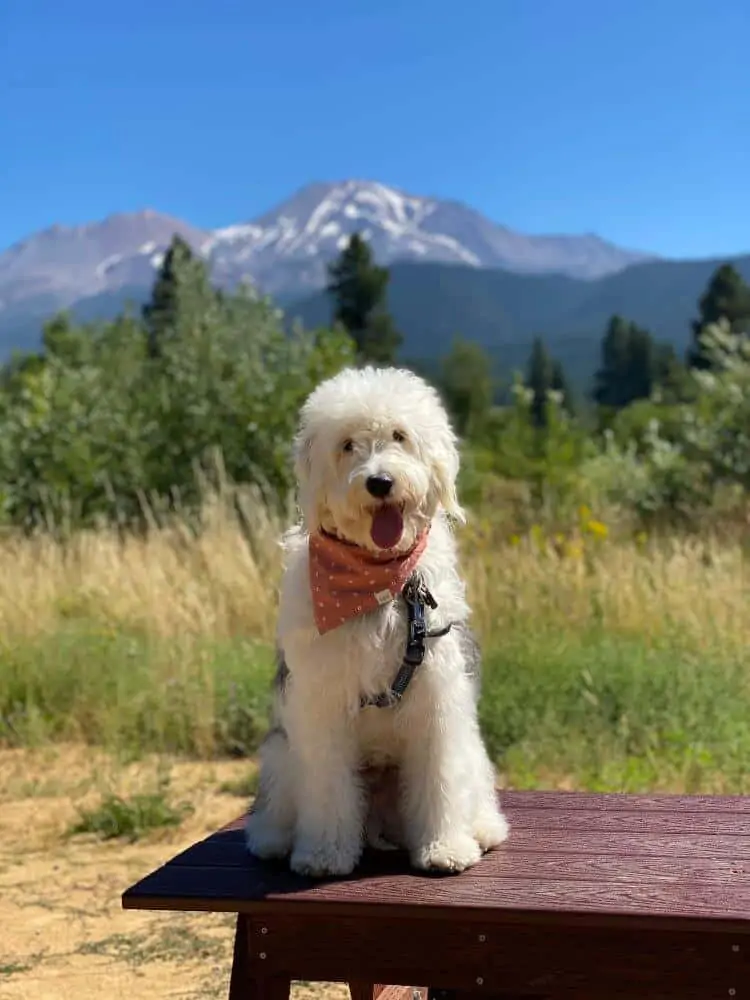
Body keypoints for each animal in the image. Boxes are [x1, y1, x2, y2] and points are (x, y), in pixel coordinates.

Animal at [247, 362, 512, 876]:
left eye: (399, 435)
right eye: (347, 444)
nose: (380, 482)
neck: (377, 583)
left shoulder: (437, 698)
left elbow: (438, 778)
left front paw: (445, 848)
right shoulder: (322, 702)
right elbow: (327, 786)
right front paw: (324, 855)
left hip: (469, 752)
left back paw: (483, 829)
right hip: (282, 753)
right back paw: (273, 839)